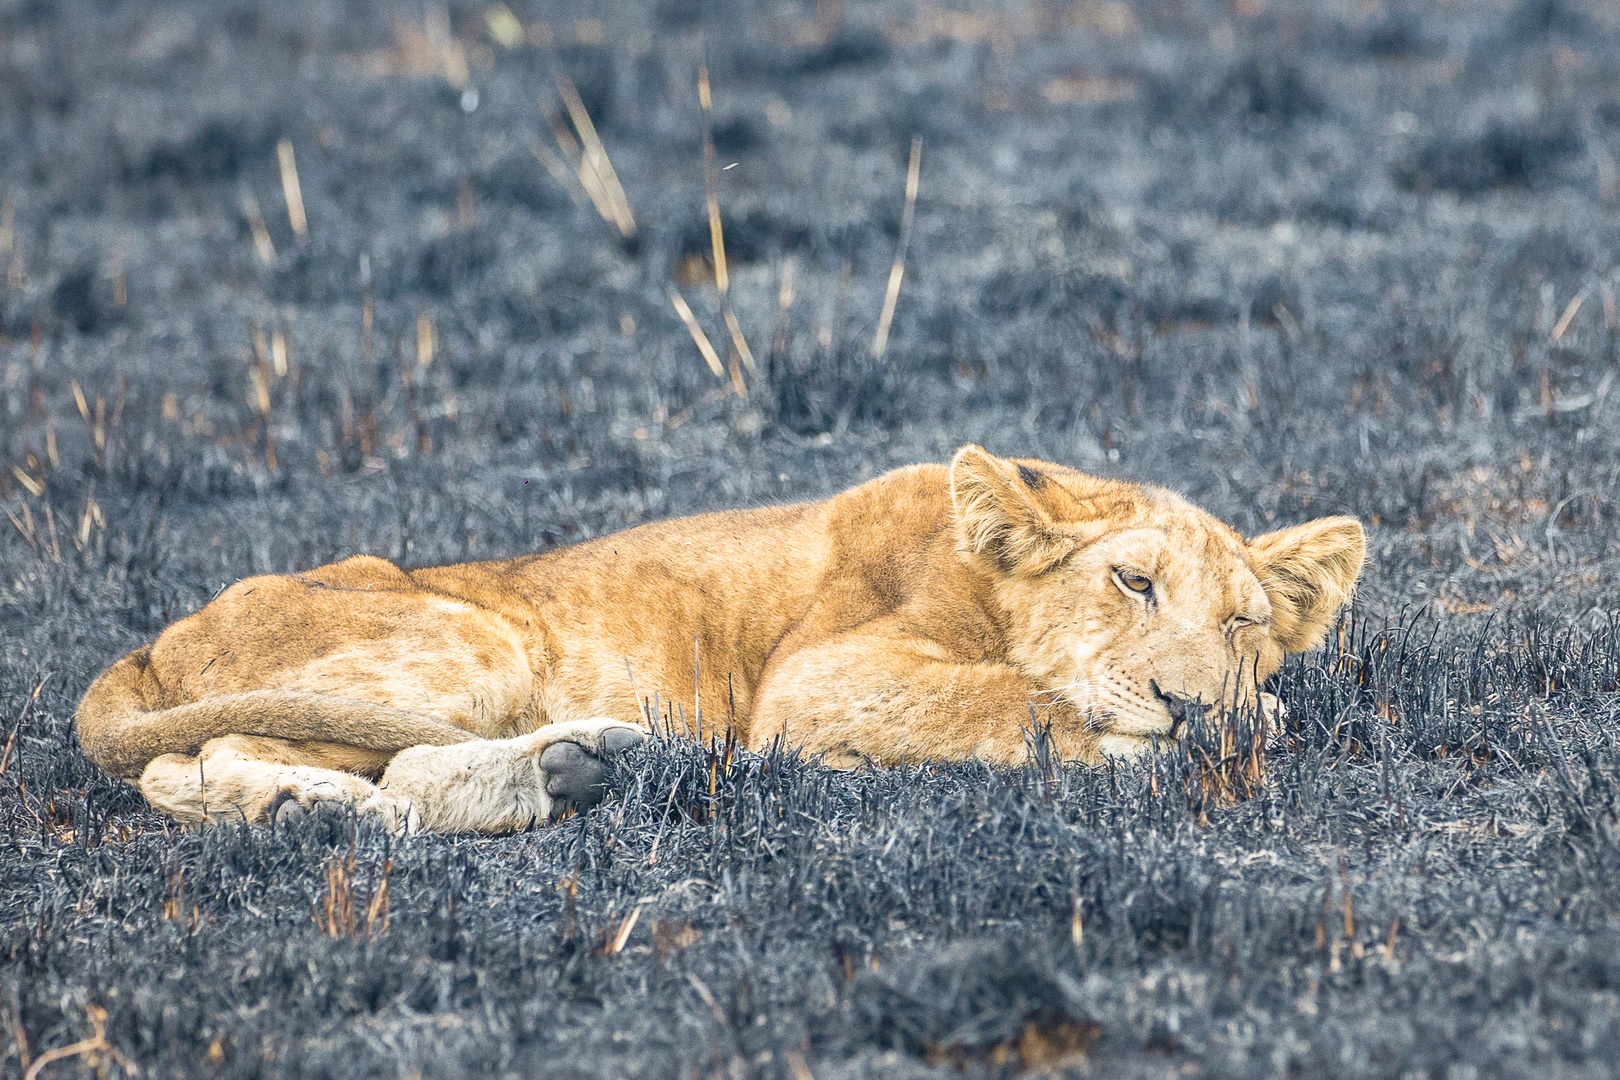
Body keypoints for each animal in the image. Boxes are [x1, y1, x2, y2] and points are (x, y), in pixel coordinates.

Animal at [76, 443, 1367, 835]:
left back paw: (575, 769)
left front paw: (1239, 714)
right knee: (203, 761)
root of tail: (151, 645)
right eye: (1132, 581)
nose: (1192, 703)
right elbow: (1004, 697)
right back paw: (317, 806)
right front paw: (1158, 734)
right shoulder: (814, 679)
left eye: (1245, 622)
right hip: (466, 638)